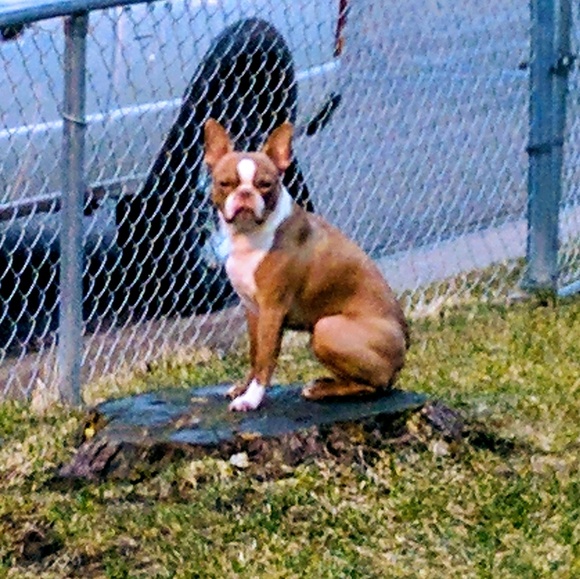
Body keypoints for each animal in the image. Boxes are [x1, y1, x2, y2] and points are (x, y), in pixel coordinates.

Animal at [204, 119, 409, 411]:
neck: (250, 234)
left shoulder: (272, 309)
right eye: (224, 184)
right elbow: (254, 354)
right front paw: (243, 388)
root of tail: (403, 350)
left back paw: (323, 390)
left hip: (326, 329)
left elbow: (265, 359)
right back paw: (324, 382)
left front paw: (251, 399)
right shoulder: (253, 310)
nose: (245, 194)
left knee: (375, 385)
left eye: (265, 184)